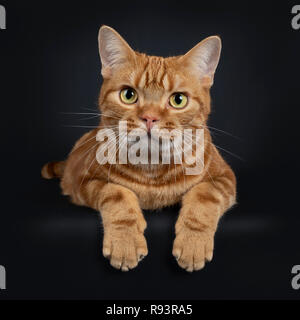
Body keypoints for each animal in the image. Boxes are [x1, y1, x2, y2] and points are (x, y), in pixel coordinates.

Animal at [41, 25, 237, 272]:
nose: (150, 118)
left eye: (178, 100)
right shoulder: (83, 180)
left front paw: (193, 243)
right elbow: (117, 194)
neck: (152, 166)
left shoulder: (224, 178)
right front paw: (125, 242)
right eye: (128, 95)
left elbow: (203, 197)